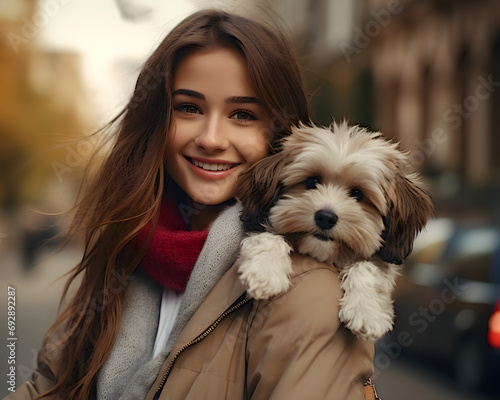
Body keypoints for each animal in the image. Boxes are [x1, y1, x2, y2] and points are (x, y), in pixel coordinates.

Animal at [234, 122, 434, 340]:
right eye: (312, 182)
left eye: (357, 194)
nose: (325, 217)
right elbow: (268, 238)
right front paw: (265, 271)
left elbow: (368, 267)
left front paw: (367, 311)